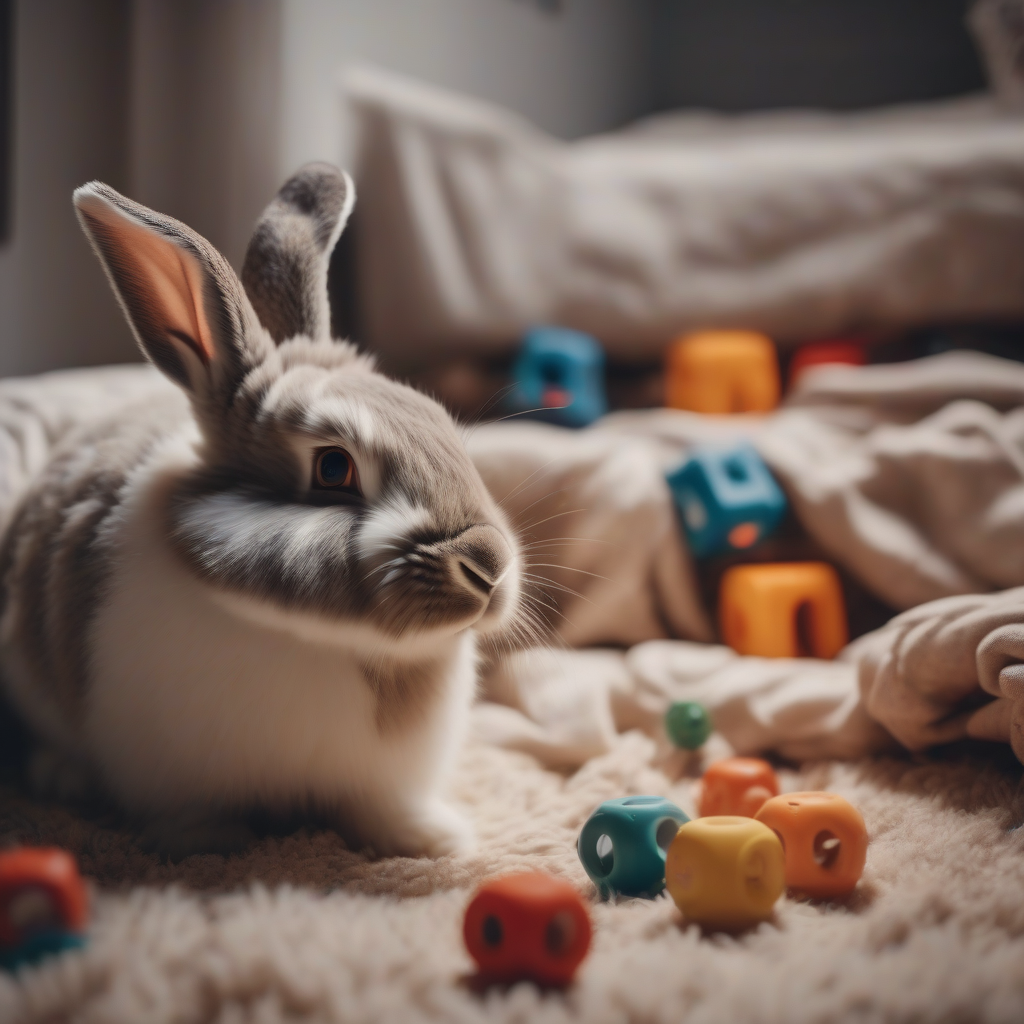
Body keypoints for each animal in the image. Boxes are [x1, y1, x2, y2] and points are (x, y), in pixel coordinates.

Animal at [0, 163, 522, 860]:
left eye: (442, 423)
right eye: (333, 468)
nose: (490, 566)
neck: (319, 637)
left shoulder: (379, 782)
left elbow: (379, 813)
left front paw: (435, 841)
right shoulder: (169, 771)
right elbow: (189, 814)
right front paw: (211, 846)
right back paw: (63, 777)